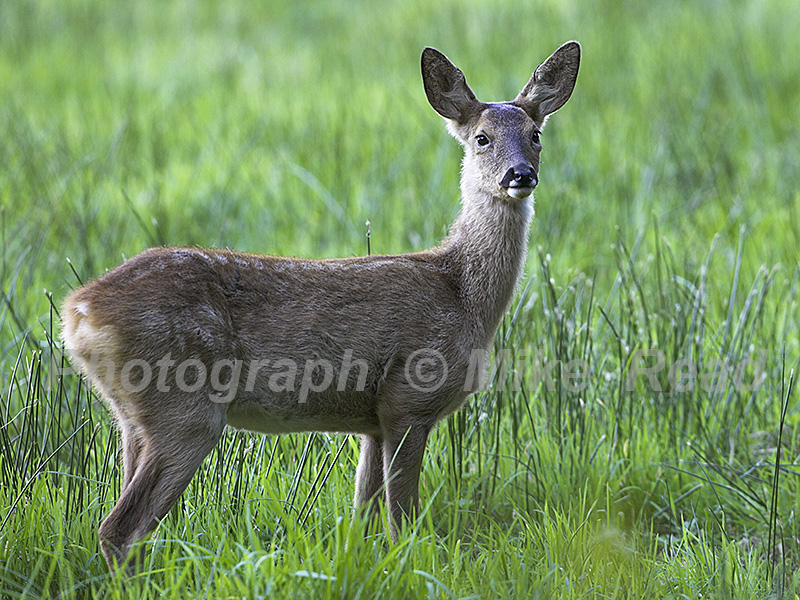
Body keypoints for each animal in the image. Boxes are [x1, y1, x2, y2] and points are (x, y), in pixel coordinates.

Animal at [61, 41, 580, 571]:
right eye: (481, 138)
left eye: (536, 134)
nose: (521, 174)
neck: (461, 291)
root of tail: (78, 311)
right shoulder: (409, 398)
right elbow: (403, 522)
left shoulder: (373, 421)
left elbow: (363, 520)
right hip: (184, 406)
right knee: (121, 527)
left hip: (131, 416)